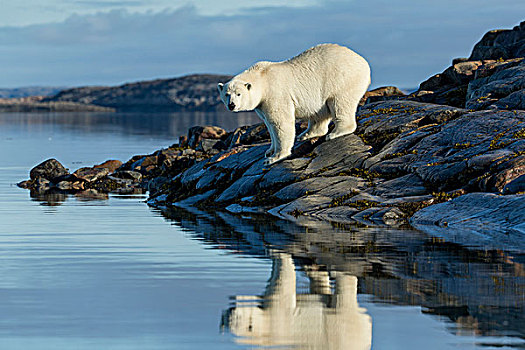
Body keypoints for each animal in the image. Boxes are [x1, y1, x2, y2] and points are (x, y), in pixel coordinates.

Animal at [219, 43, 370, 165]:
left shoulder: (275, 94)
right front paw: (269, 151)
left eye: (239, 94)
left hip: (341, 79)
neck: (262, 78)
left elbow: (281, 122)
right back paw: (306, 134)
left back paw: (335, 133)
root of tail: (364, 63)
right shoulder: (261, 105)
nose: (231, 105)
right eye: (227, 94)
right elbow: (269, 124)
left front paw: (274, 158)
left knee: (340, 103)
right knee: (318, 113)